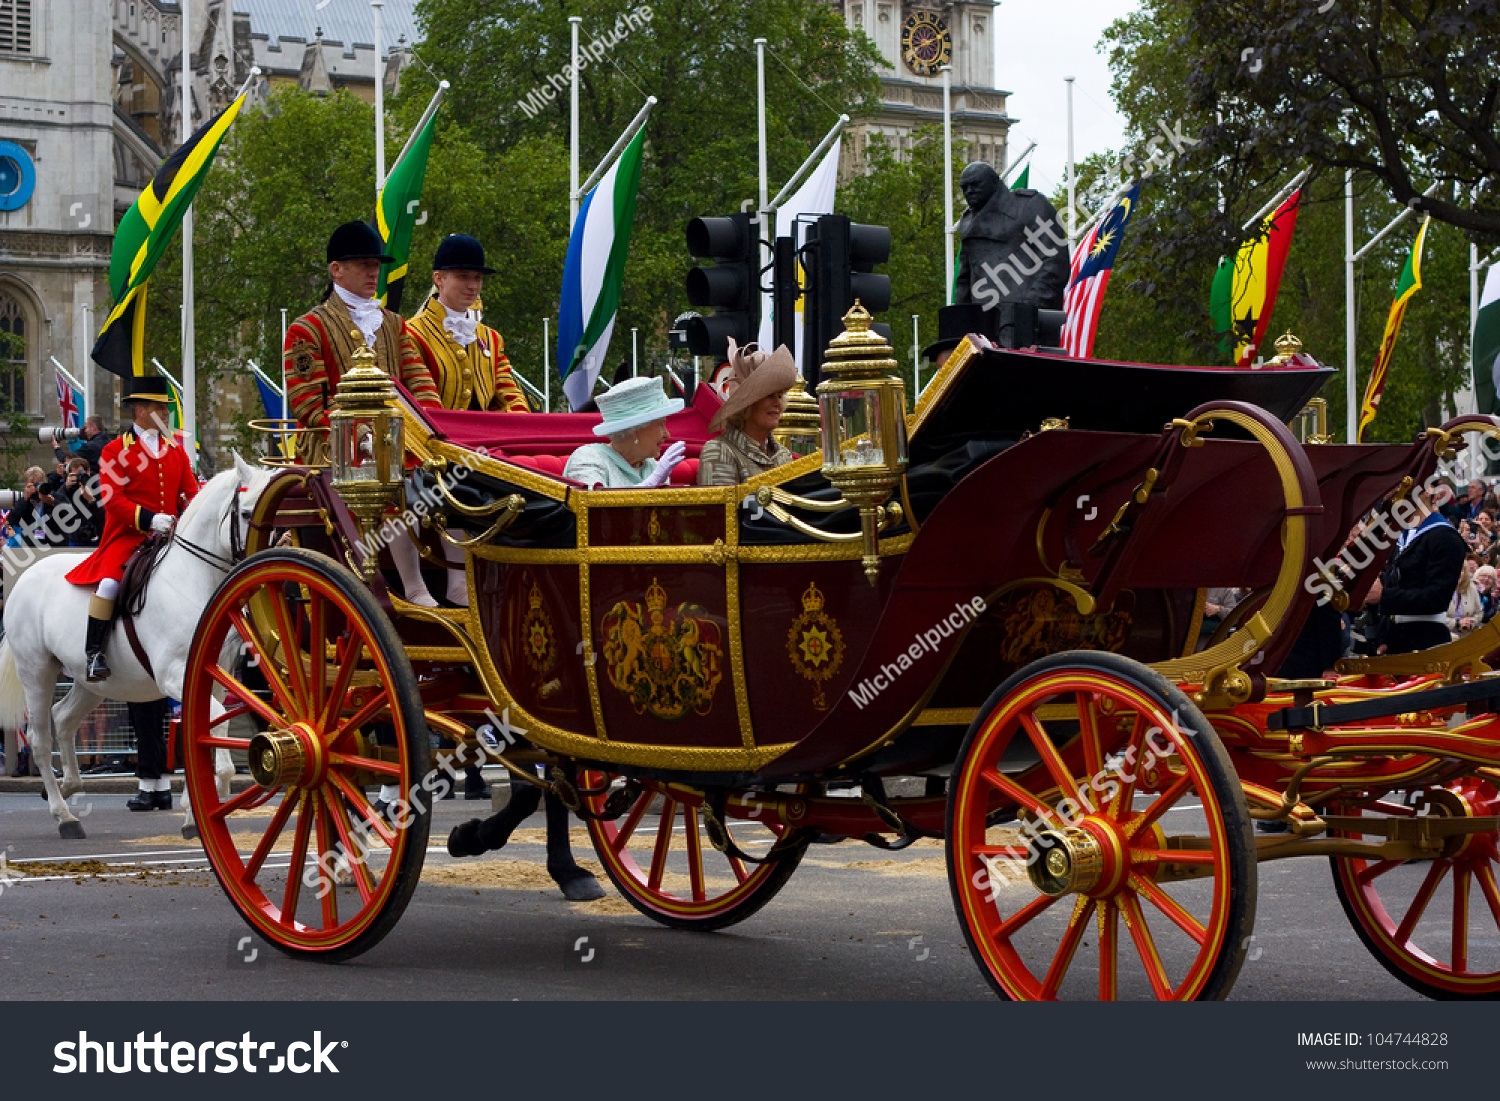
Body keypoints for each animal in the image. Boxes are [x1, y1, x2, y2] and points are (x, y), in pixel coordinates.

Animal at [0, 456, 276, 834]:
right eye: (247, 512)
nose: (266, 562)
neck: (193, 580)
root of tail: (25, 577)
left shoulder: (215, 678)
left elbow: (207, 729)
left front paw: (194, 812)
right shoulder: (174, 674)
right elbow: (212, 727)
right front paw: (214, 789)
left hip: (92, 682)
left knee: (64, 719)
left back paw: (69, 785)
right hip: (37, 673)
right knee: (41, 740)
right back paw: (64, 815)